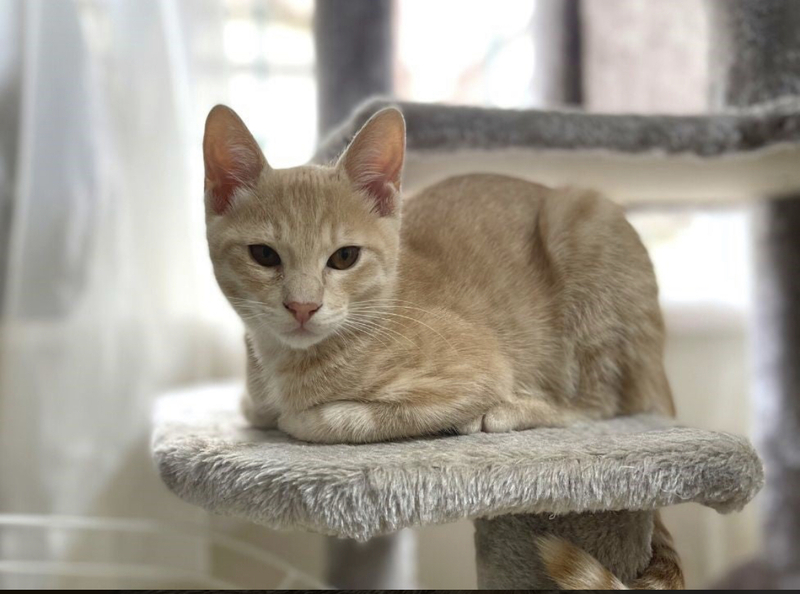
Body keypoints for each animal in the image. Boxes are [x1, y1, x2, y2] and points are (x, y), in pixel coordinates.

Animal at [203, 104, 683, 589]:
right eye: (264, 255)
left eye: (344, 257)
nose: (302, 306)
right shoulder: (254, 397)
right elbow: (257, 410)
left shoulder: (481, 370)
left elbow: (334, 419)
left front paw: (308, 417)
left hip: (584, 235)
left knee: (596, 403)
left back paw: (507, 412)